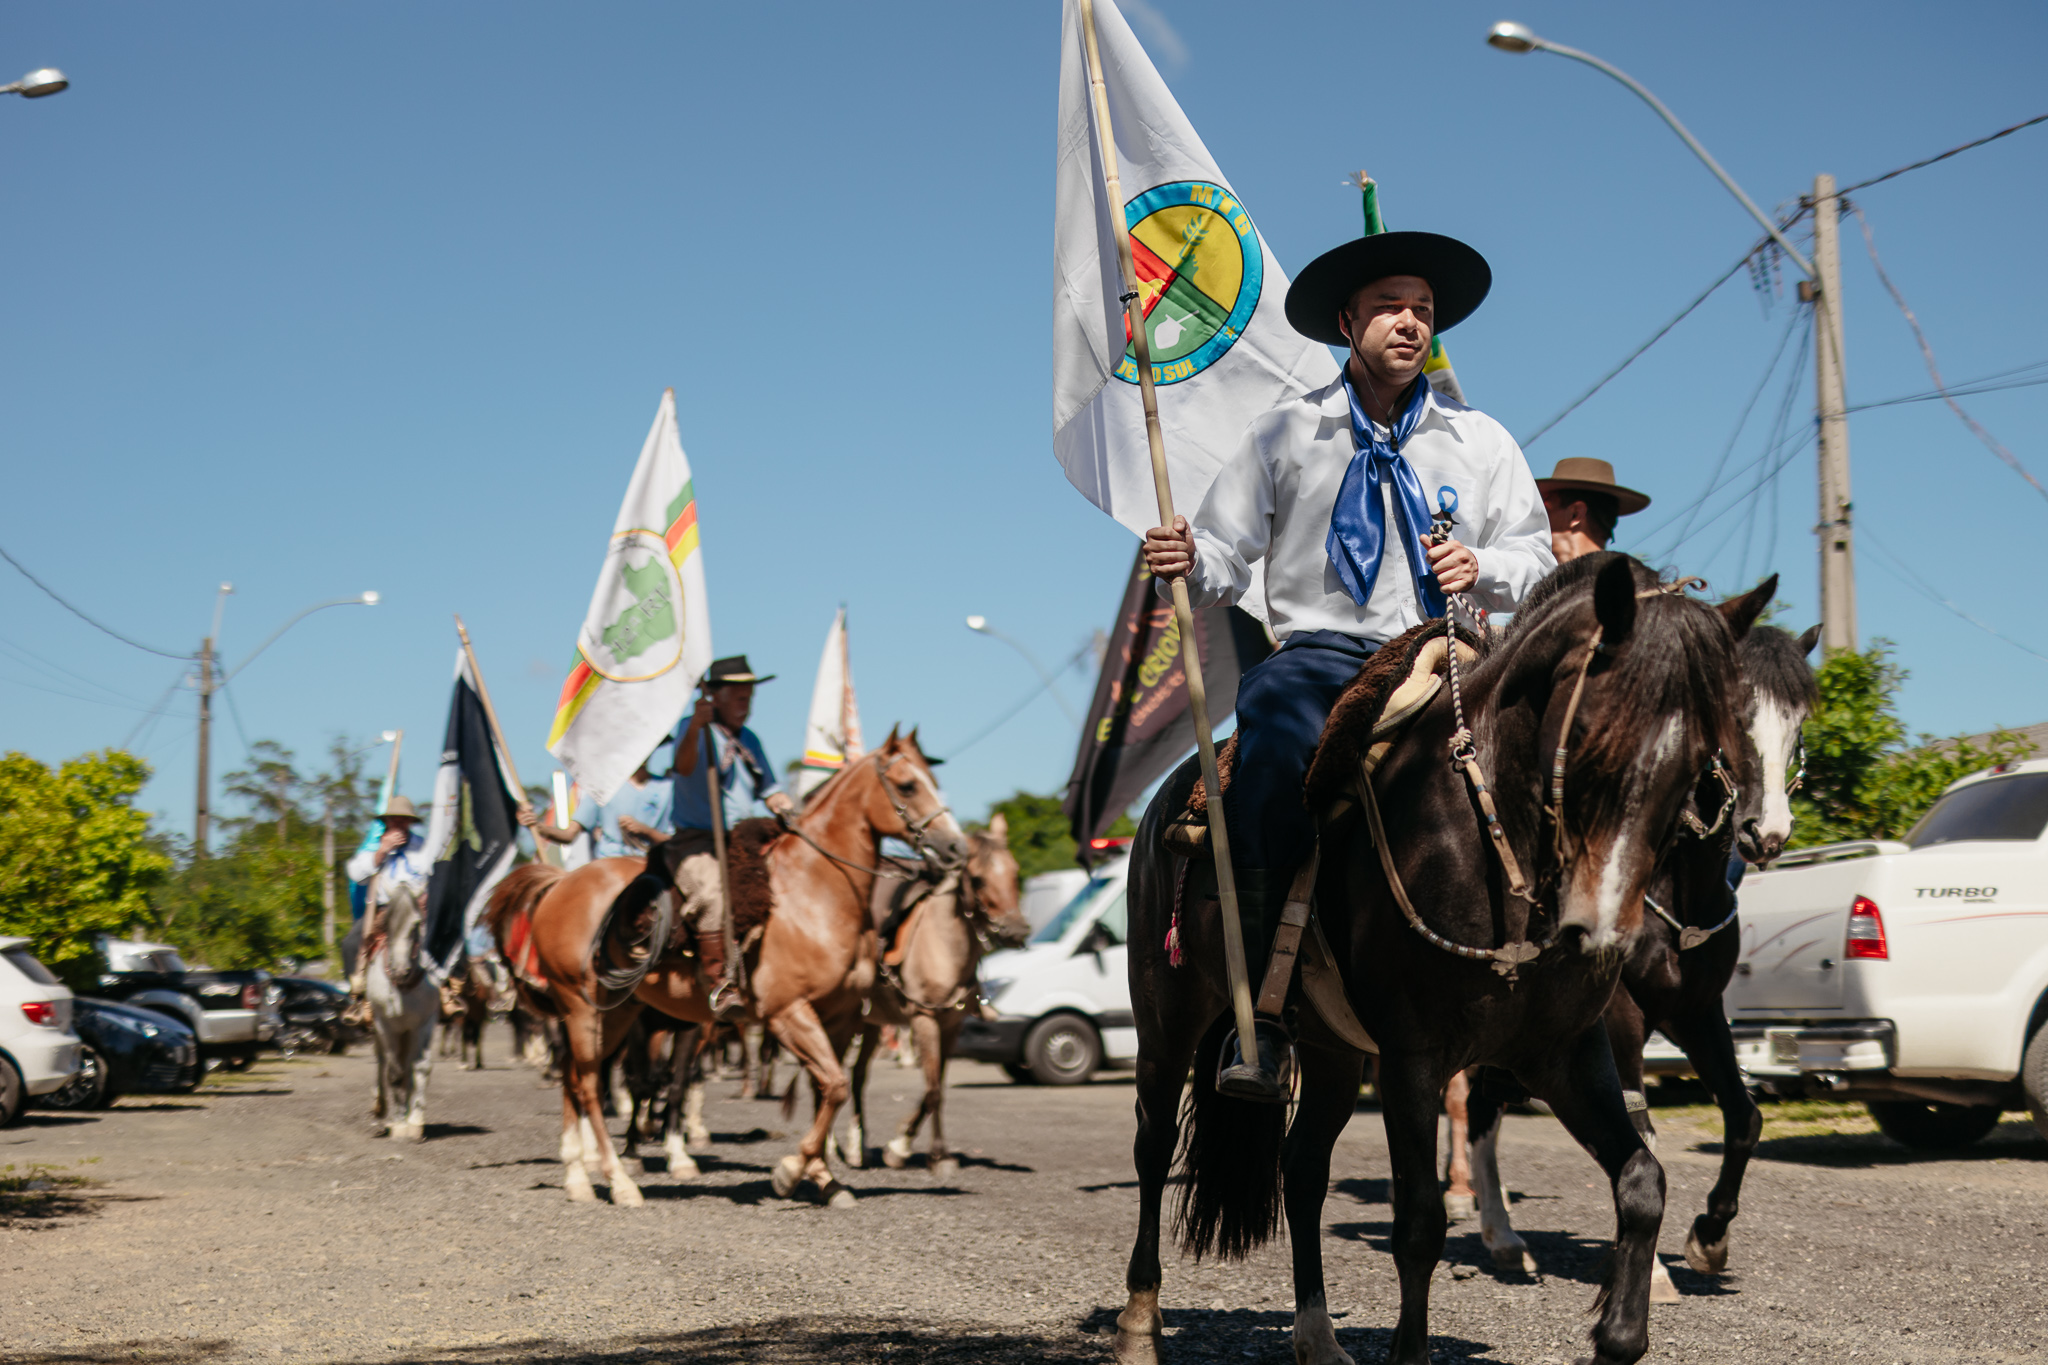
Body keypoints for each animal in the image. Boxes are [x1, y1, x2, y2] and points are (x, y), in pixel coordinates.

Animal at [485, 732, 958, 1211]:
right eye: (907, 786)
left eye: (933, 781)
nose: (954, 847)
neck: (816, 890)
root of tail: (559, 883)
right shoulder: (787, 1012)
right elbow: (836, 1085)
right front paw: (789, 1172)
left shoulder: (839, 1018)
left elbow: (826, 1089)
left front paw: (825, 1178)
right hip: (581, 1007)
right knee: (588, 1084)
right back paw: (619, 1181)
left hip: (613, 1013)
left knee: (573, 1077)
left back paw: (577, 1178)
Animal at [835, 818, 1024, 1178]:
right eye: (977, 879)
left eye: (1016, 873)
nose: (1017, 931)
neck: (942, 944)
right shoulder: (924, 1020)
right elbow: (933, 1089)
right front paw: (928, 1154)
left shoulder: (951, 1026)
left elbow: (935, 1088)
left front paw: (905, 1146)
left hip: (871, 1025)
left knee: (856, 1077)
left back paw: (856, 1146)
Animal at [1114, 556, 1769, 1365]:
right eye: (1591, 736)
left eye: (1700, 757)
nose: (1602, 934)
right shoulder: (1411, 1059)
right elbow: (1419, 1223)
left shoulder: (1564, 1054)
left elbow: (1643, 1179)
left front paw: (1618, 1334)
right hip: (1168, 1018)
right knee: (1152, 1149)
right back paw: (1140, 1322)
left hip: (1331, 1051)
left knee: (1302, 1169)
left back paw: (1318, 1338)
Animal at [1466, 613, 1818, 1301]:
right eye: (1731, 713)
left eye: (1798, 723)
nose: (1766, 834)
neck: (1672, 885)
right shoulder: (1620, 1017)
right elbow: (1640, 1129)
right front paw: (1652, 1269)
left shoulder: (1696, 1011)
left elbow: (1745, 1117)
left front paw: (1709, 1238)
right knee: (1476, 1113)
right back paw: (1499, 1233)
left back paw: (1503, 1237)